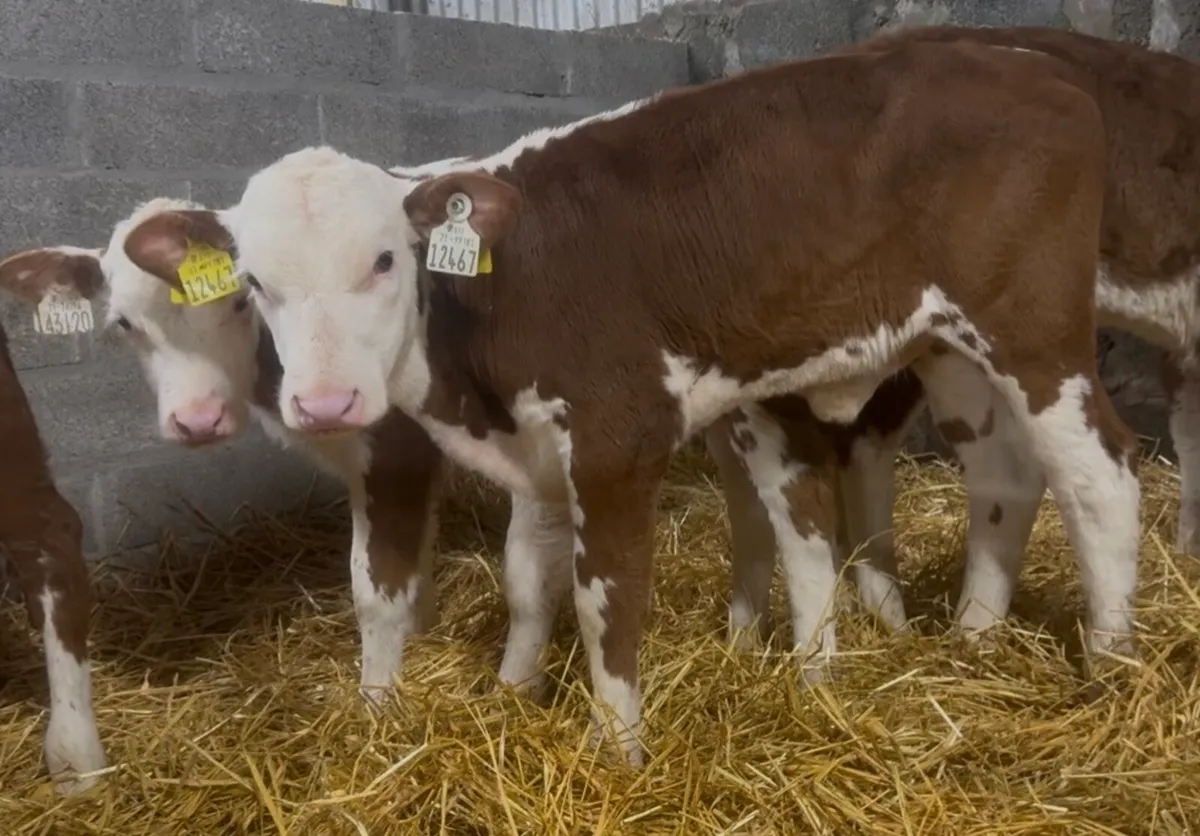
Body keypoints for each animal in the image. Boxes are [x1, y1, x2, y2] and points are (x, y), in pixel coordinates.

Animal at [121, 39, 1137, 766]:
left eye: (382, 260)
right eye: (253, 284)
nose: (327, 402)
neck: (494, 298)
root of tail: (1037, 68)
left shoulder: (612, 441)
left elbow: (606, 599)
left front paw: (618, 753)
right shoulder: (535, 451)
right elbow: (530, 580)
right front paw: (512, 695)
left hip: (1034, 334)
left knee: (1102, 478)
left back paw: (1113, 666)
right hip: (948, 348)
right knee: (991, 477)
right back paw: (953, 645)